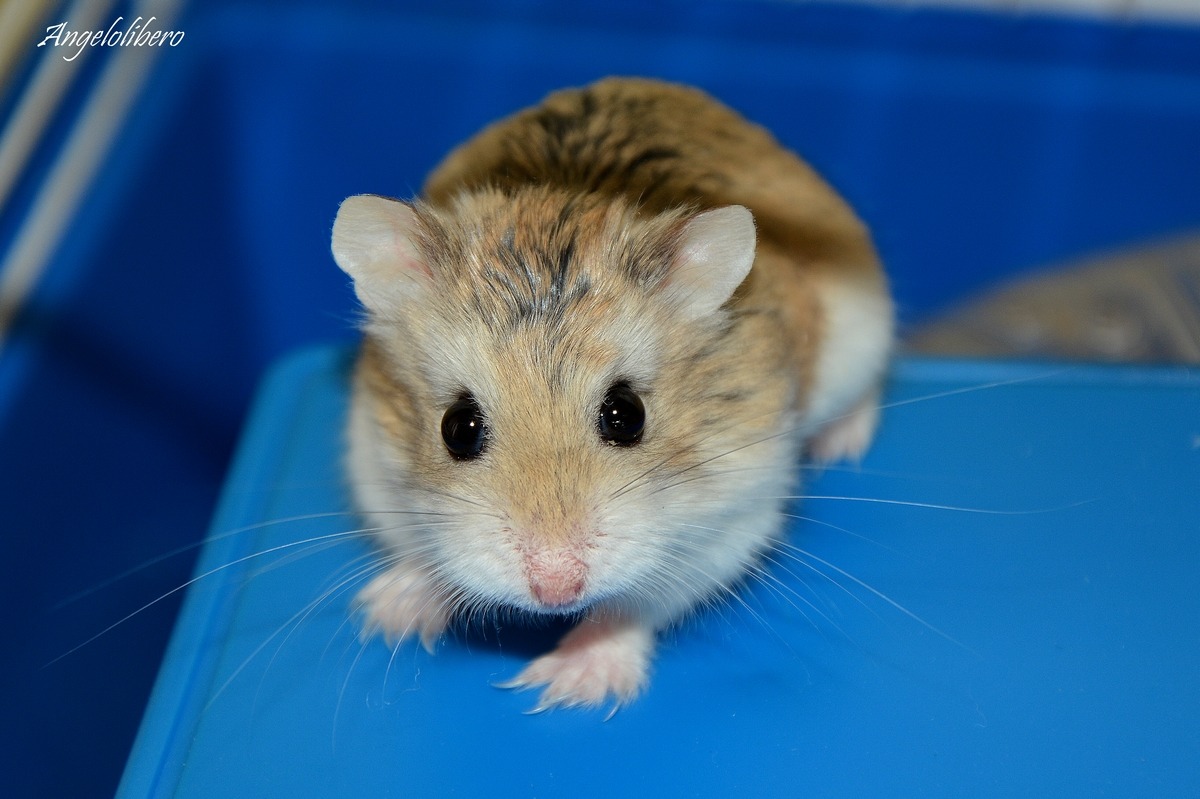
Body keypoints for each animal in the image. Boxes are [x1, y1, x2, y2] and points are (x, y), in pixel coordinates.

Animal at [330, 77, 892, 711]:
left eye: (627, 415)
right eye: (457, 428)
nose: (556, 590)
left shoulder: (734, 519)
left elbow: (632, 606)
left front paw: (566, 686)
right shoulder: (373, 465)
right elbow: (419, 552)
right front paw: (386, 615)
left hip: (864, 336)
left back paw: (840, 445)